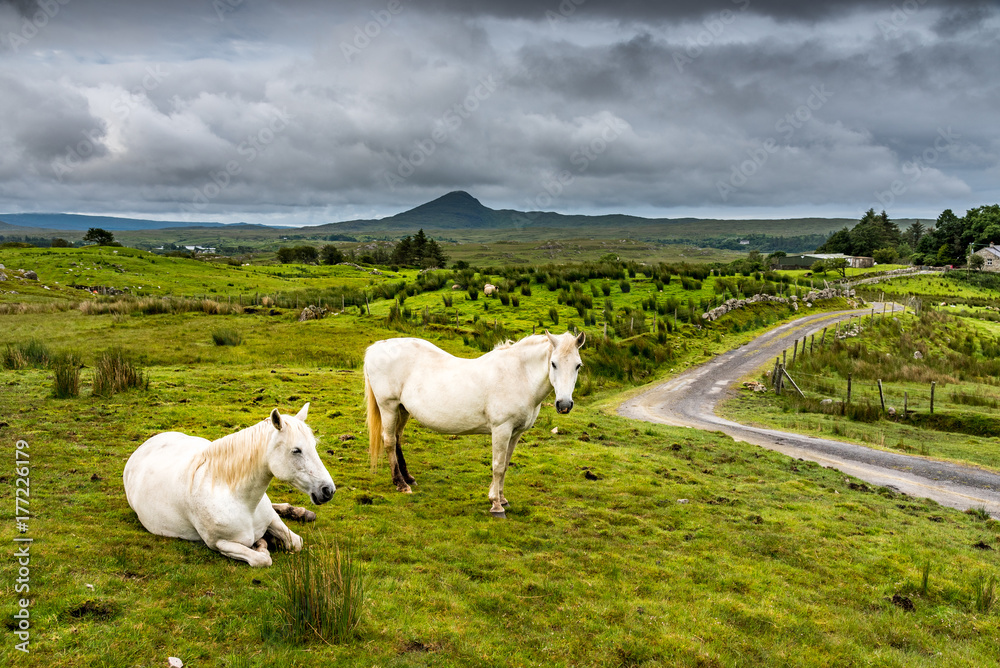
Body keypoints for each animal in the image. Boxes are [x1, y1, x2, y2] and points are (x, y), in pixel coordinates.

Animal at [123, 403, 335, 567]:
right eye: (296, 450)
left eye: (314, 447)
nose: (328, 490)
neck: (242, 501)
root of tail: (147, 443)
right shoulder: (220, 543)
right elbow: (261, 559)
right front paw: (262, 545)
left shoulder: (271, 519)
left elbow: (296, 542)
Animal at [364, 331, 585, 517]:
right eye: (553, 363)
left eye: (578, 365)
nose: (564, 404)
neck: (518, 375)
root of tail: (376, 347)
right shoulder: (501, 429)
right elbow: (497, 466)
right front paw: (496, 505)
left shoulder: (515, 433)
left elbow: (505, 465)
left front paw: (502, 499)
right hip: (389, 406)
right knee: (389, 441)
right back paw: (401, 484)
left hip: (402, 409)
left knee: (397, 439)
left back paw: (409, 478)